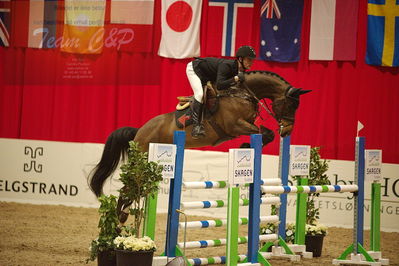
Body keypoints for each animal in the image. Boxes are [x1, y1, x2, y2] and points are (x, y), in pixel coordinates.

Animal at [89, 70, 310, 197]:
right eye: (291, 105)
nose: (287, 131)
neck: (241, 93)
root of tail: (138, 133)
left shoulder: (245, 124)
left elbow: (267, 133)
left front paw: (247, 146)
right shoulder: (235, 125)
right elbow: (264, 133)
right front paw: (246, 146)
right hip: (142, 157)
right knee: (130, 186)